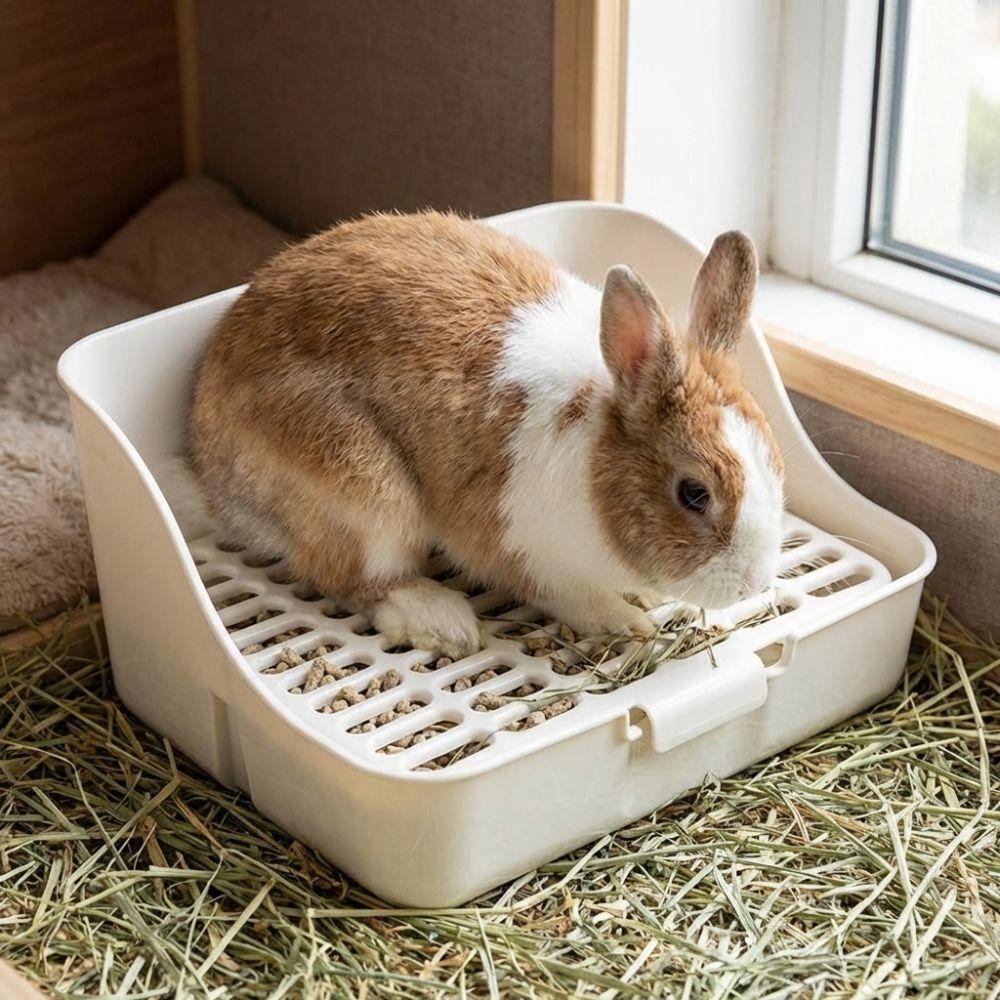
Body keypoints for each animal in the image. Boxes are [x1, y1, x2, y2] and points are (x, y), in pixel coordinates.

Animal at [188, 211, 785, 659]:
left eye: (777, 468)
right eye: (693, 494)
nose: (753, 584)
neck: (597, 463)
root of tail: (210, 468)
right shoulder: (531, 554)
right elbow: (575, 598)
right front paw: (627, 622)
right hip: (365, 496)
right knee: (359, 580)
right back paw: (444, 622)